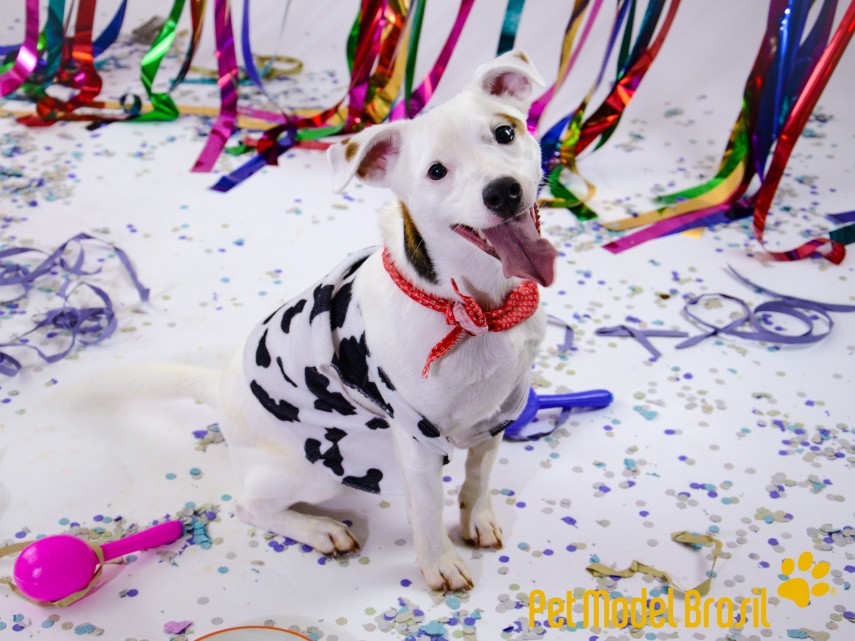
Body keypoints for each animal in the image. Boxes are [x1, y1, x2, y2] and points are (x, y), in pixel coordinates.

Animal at [177, 50, 560, 592]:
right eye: (436, 171)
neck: (476, 308)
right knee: (249, 507)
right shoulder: (417, 439)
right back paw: (319, 530)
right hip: (312, 468)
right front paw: (439, 562)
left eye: (504, 132)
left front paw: (476, 519)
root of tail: (219, 388)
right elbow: (428, 508)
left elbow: (478, 478)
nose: (503, 192)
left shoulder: (498, 415)